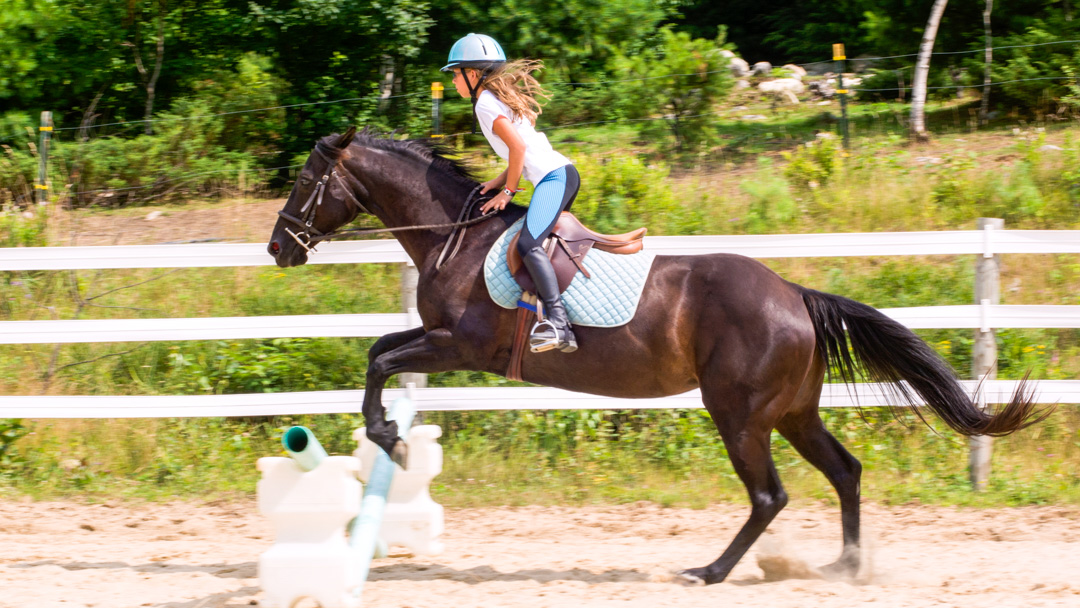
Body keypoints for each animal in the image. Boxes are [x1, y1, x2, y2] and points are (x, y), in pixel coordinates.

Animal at [265, 127, 1049, 583]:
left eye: (304, 182)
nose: (277, 248)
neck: (455, 239)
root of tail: (795, 295)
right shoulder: (441, 344)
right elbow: (379, 353)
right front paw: (388, 438)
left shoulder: (460, 346)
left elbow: (379, 360)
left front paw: (390, 440)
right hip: (793, 412)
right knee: (845, 472)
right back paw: (843, 567)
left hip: (739, 413)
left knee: (770, 495)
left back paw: (710, 572)